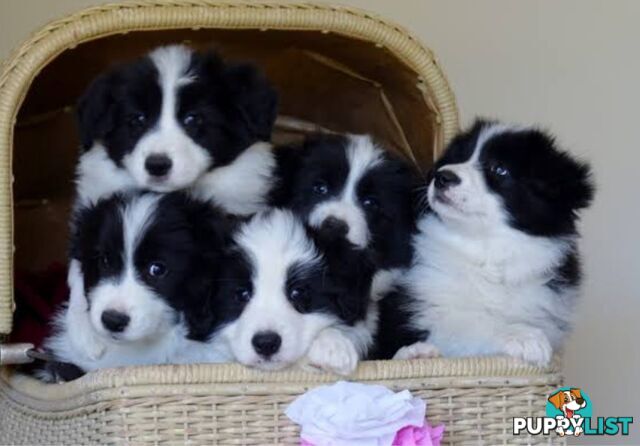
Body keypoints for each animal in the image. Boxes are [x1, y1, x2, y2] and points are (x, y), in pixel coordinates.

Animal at [380, 120, 596, 364]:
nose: (443, 177)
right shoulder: (422, 306)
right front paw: (524, 336)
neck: (485, 250)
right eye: (459, 158)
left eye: (500, 169)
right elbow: (469, 323)